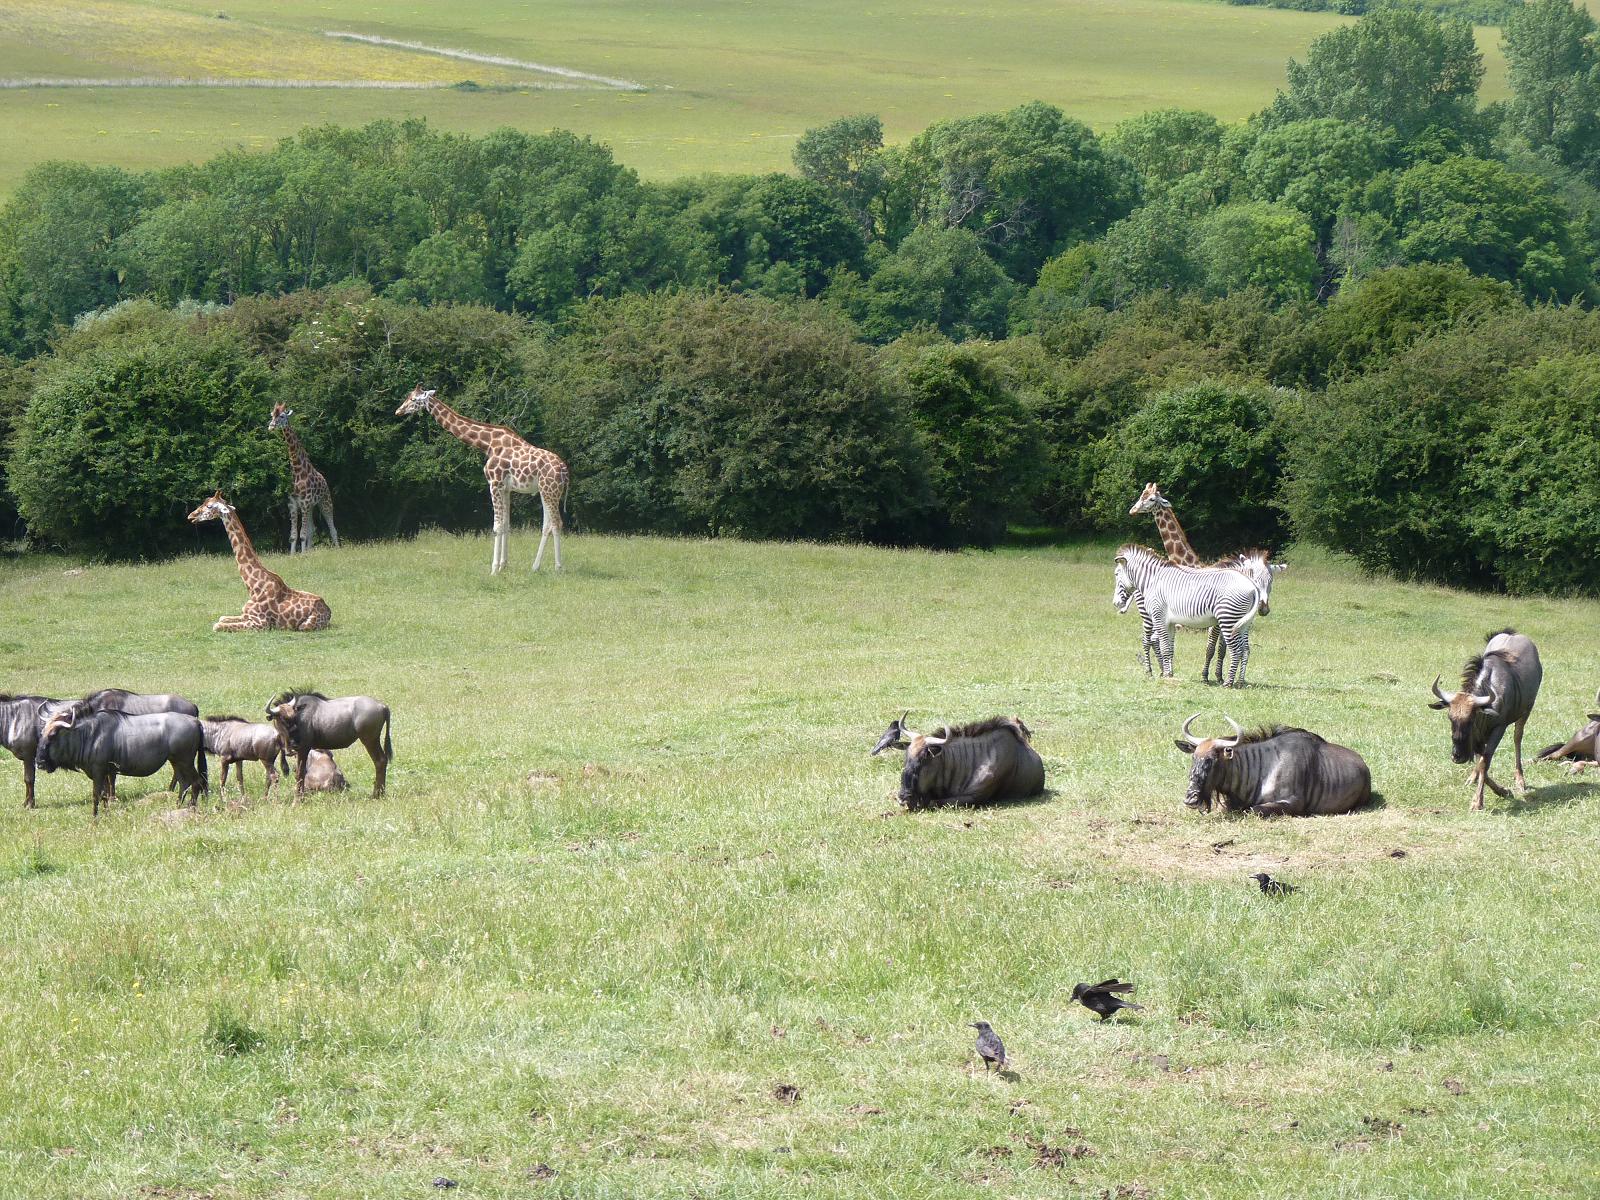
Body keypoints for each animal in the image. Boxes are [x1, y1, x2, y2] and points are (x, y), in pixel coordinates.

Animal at [187, 492, 332, 632]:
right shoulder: (245, 614)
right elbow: (221, 618)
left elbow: (217, 626)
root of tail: (329, 612)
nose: (191, 516)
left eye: (209, 506)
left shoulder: (261, 623)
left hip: (305, 626)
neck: (253, 587)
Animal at [267, 404, 339, 554]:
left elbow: (302, 534)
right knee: (313, 529)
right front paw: (294, 555)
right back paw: (310, 551)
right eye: (271, 415)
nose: (271, 426)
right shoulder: (293, 504)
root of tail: (324, 479)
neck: (297, 472)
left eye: (282, 416)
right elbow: (294, 535)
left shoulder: (305, 503)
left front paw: (302, 554)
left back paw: (337, 548)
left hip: (325, 502)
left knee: (332, 528)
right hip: (311, 507)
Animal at [395, 386, 568, 574]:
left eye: (413, 399)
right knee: (547, 525)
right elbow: (506, 525)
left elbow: (497, 526)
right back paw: (535, 567)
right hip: (545, 491)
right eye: (408, 396)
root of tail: (564, 470)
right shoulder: (506, 488)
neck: (487, 444)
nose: (398, 411)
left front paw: (494, 570)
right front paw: (503, 566)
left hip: (550, 490)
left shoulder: (494, 483)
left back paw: (558, 568)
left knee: (557, 523)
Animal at [1113, 545, 1265, 687]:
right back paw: (1239, 682)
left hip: (1228, 620)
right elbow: (1170, 649)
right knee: (1245, 650)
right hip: (1243, 624)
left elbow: (1164, 647)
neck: (1153, 581)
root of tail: (1252, 586)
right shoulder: (1170, 622)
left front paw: (1166, 676)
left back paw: (1228, 683)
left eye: (1116, 574)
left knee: (1236, 650)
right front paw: (1169, 674)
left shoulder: (1159, 617)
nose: (1116, 603)